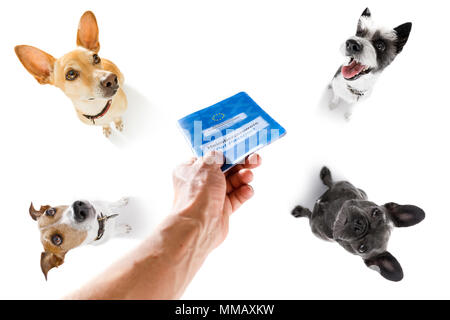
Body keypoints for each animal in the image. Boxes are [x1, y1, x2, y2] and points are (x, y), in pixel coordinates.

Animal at [292, 166, 426, 282]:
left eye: (362, 248)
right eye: (376, 212)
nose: (360, 226)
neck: (333, 212)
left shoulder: (312, 224)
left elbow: (308, 214)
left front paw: (300, 211)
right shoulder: (340, 185)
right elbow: (331, 183)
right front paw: (326, 176)